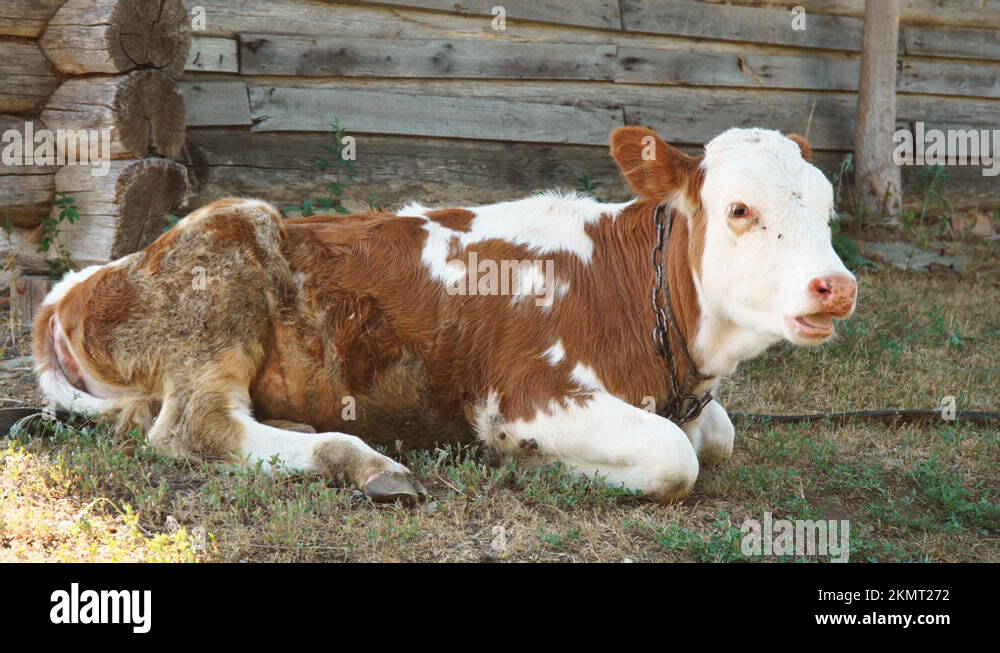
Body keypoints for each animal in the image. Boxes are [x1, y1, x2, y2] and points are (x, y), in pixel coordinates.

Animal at [32, 126, 857, 504]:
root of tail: (83, 280)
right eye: (739, 209)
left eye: (826, 206)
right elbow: (676, 457)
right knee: (192, 428)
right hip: (228, 257)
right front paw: (539, 461)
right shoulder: (525, 393)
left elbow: (716, 436)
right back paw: (366, 462)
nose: (836, 286)